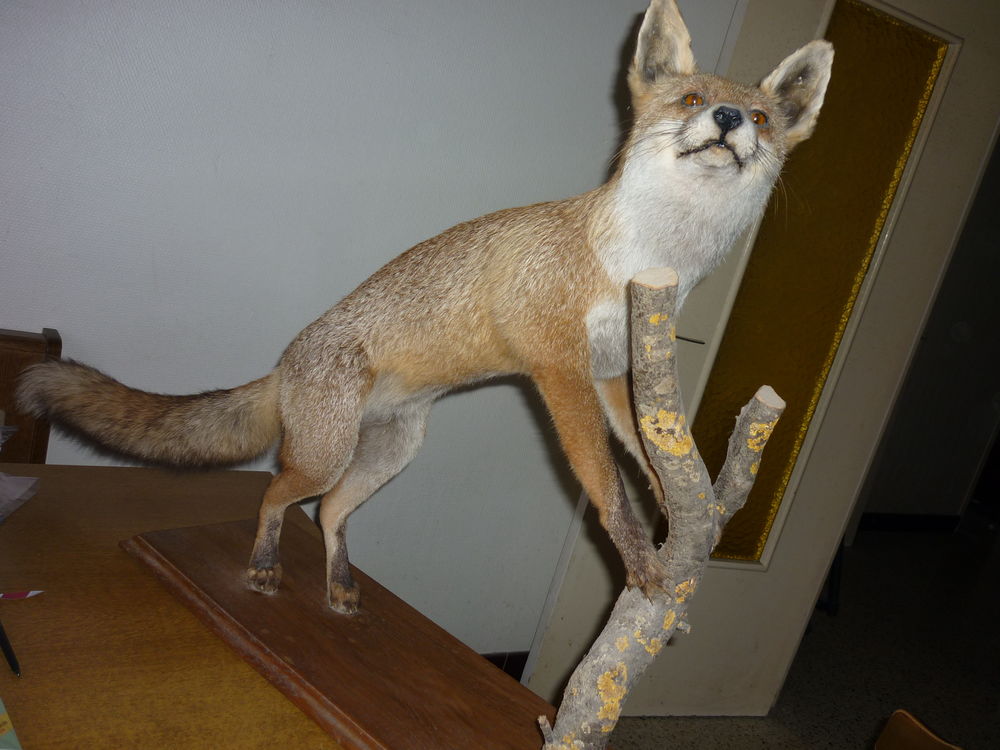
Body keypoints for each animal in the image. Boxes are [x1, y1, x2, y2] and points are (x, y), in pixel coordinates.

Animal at [17, 0, 832, 614]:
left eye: (762, 119)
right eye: (691, 100)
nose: (728, 118)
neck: (651, 263)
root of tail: (285, 363)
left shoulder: (613, 374)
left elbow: (651, 460)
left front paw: (684, 514)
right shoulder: (557, 368)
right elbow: (607, 487)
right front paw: (642, 560)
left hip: (389, 455)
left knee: (330, 514)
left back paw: (339, 587)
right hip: (323, 454)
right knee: (276, 496)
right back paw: (264, 567)